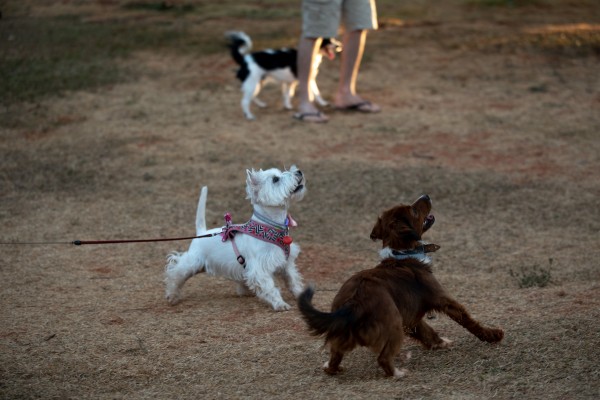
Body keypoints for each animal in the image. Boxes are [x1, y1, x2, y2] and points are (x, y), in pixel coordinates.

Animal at [163, 164, 304, 310]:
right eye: (275, 179)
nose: (299, 172)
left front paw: (301, 295)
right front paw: (280, 304)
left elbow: (293, 280)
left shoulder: (286, 264)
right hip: (192, 263)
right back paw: (172, 296)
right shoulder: (260, 269)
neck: (271, 227)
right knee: (175, 273)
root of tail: (201, 232)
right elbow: (270, 288)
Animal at [298, 196, 502, 378]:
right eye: (414, 210)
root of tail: (353, 303)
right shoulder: (442, 299)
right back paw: (398, 373)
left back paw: (333, 368)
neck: (402, 252)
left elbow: (426, 330)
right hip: (393, 324)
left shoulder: (409, 313)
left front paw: (439, 343)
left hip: (345, 332)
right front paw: (492, 335)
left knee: (335, 356)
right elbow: (467, 320)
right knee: (383, 358)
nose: (426, 195)